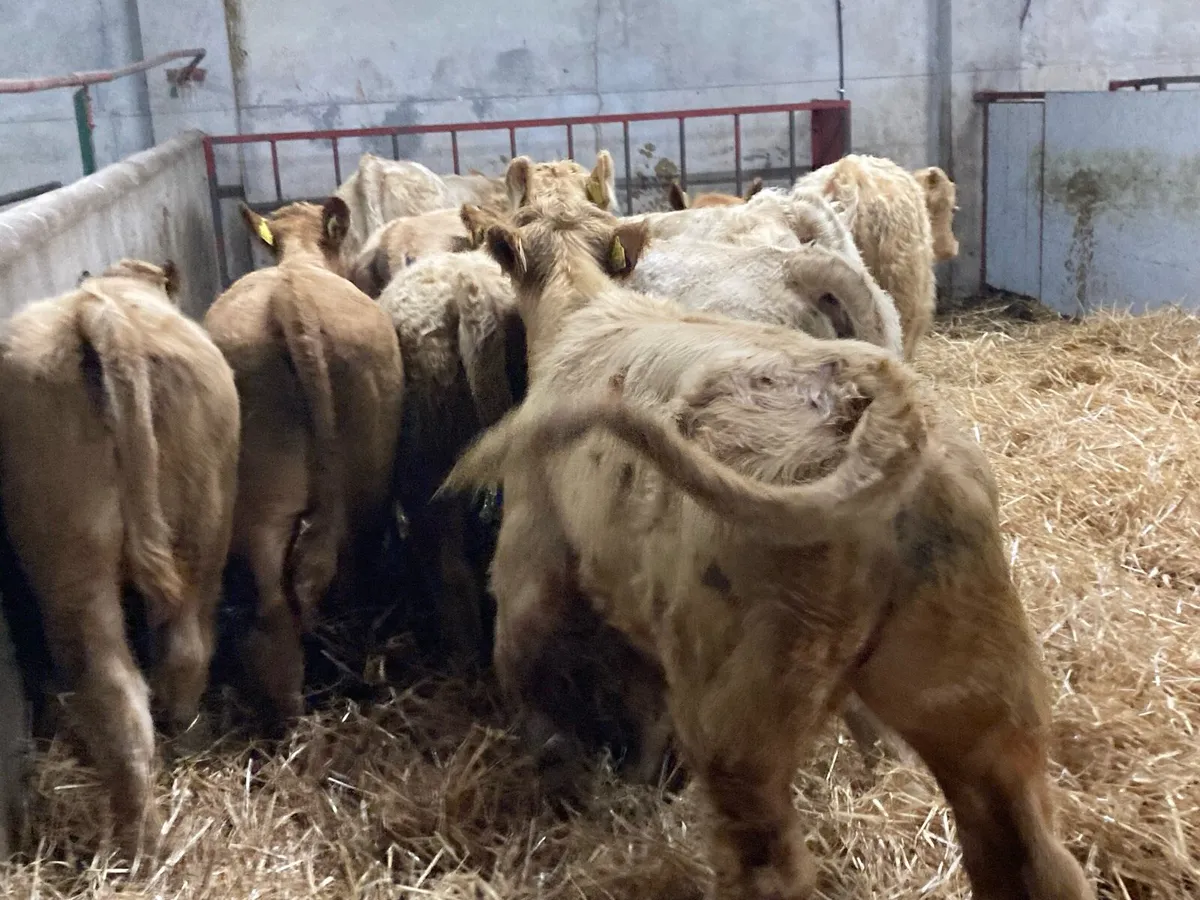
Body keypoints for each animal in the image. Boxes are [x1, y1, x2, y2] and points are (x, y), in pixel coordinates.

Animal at [442, 198, 1094, 900]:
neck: (585, 313)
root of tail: (885, 424)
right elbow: (643, 701)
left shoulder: (530, 554)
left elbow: (523, 663)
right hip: (977, 698)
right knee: (1033, 858)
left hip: (739, 718)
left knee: (768, 870)